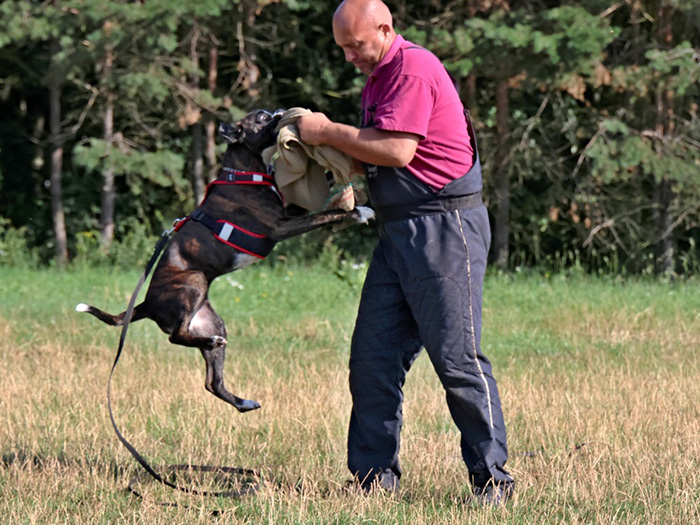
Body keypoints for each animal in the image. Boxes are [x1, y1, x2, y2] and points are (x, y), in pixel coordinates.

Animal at [74, 109, 374, 414]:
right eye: (262, 117)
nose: (279, 111)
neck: (245, 172)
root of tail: (147, 304)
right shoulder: (280, 226)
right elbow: (325, 215)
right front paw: (359, 211)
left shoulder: (289, 211)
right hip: (194, 283)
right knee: (175, 337)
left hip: (211, 323)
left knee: (211, 381)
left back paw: (243, 401)